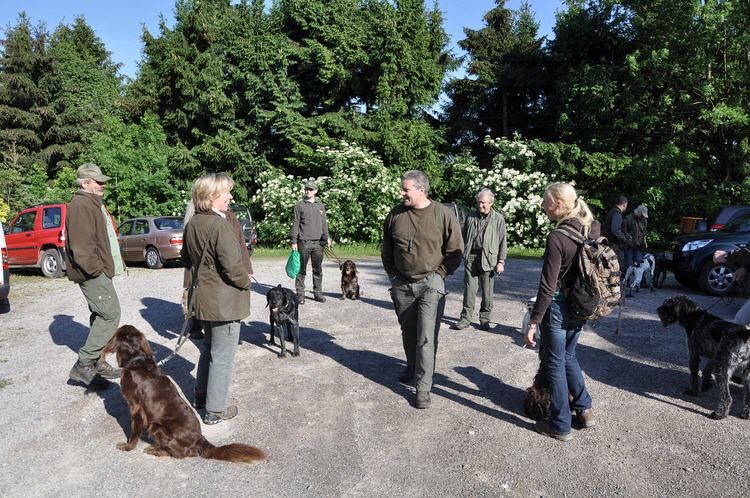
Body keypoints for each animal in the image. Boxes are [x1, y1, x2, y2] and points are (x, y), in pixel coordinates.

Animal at [102, 325, 265, 462]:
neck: (137, 360)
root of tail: (200, 439)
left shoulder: (136, 408)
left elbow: (134, 431)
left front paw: (127, 447)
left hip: (156, 426)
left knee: (180, 454)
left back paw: (155, 450)